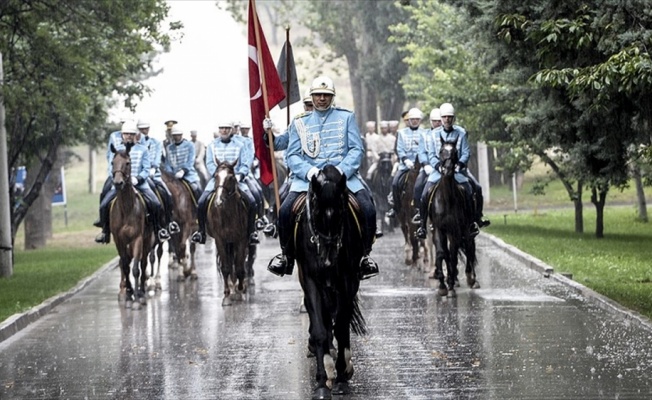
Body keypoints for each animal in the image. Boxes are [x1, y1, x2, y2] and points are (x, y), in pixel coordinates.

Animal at [111, 144, 155, 310]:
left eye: (128, 163)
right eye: (112, 162)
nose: (118, 183)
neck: (126, 208)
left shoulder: (137, 239)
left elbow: (136, 268)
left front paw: (136, 298)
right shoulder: (119, 241)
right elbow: (124, 265)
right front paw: (129, 295)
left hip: (147, 242)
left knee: (143, 263)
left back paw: (141, 292)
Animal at [206, 159, 250, 306]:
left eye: (231, 178)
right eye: (215, 176)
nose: (219, 201)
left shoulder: (241, 239)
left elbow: (240, 266)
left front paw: (241, 290)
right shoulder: (220, 240)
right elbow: (225, 267)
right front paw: (226, 295)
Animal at [296, 164, 366, 398]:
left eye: (341, 212)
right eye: (317, 211)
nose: (328, 259)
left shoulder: (347, 280)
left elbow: (342, 327)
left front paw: (342, 375)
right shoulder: (310, 280)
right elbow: (320, 329)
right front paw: (321, 381)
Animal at [426, 138, 482, 296]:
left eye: (455, 152)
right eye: (441, 151)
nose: (448, 169)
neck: (447, 199)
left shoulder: (455, 231)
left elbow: (452, 255)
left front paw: (450, 284)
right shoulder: (439, 229)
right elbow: (441, 253)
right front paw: (442, 284)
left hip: (468, 230)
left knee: (469, 247)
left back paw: (471, 279)